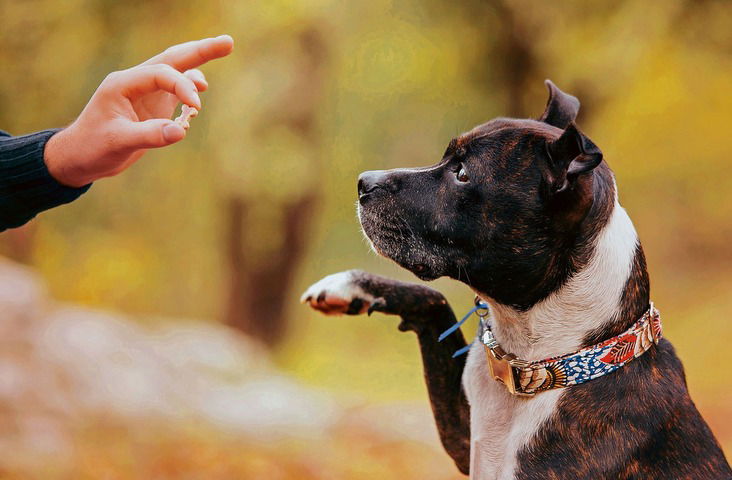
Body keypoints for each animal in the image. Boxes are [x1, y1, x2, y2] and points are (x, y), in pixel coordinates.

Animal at [300, 80, 728, 478]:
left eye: (462, 173)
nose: (363, 182)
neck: (538, 364)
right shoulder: (463, 436)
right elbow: (434, 301)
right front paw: (349, 286)